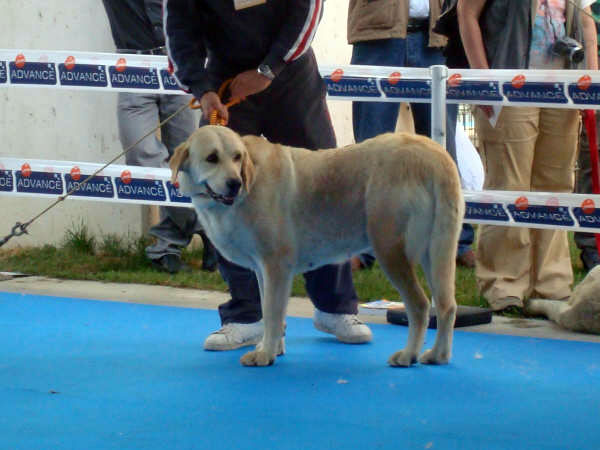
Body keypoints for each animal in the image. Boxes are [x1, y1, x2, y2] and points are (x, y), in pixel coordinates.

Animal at [170, 125, 464, 368]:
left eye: (237, 157)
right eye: (212, 158)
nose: (235, 183)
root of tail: (433, 153)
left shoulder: (276, 266)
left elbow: (272, 314)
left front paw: (265, 356)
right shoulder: (264, 270)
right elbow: (268, 311)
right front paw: (272, 349)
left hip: (390, 249)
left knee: (420, 305)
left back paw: (408, 356)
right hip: (435, 252)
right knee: (447, 305)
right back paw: (438, 356)